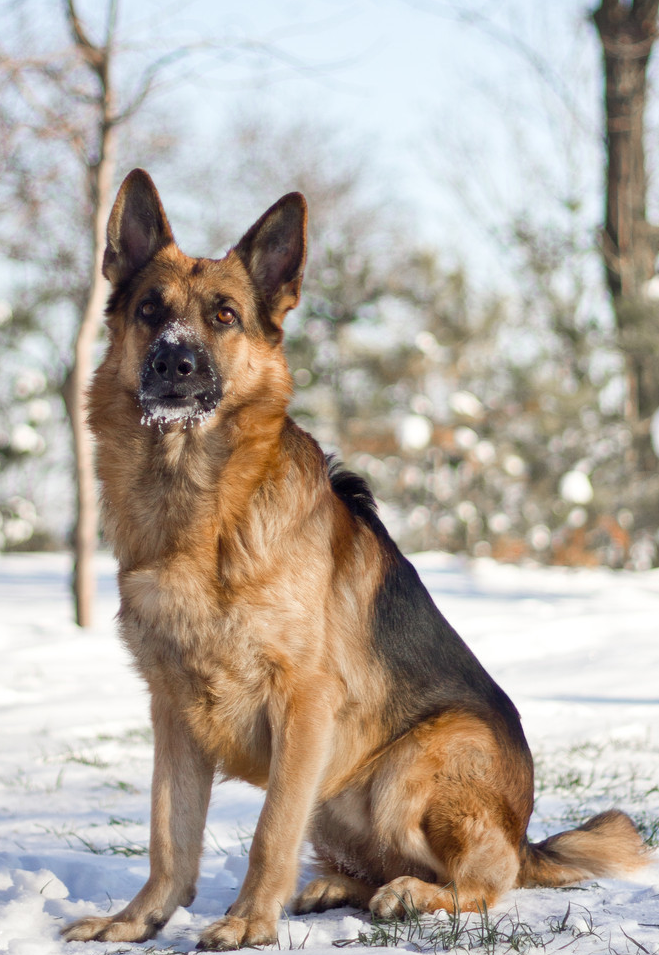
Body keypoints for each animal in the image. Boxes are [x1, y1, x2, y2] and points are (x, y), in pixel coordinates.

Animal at [63, 170, 648, 948]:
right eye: (149, 310)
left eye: (224, 315)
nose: (172, 360)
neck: (202, 512)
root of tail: (524, 833)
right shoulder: (172, 714)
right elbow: (168, 834)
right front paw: (137, 920)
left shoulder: (303, 706)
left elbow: (269, 831)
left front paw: (247, 922)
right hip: (336, 797)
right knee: (387, 865)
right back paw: (339, 887)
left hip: (407, 767)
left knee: (485, 879)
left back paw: (411, 895)